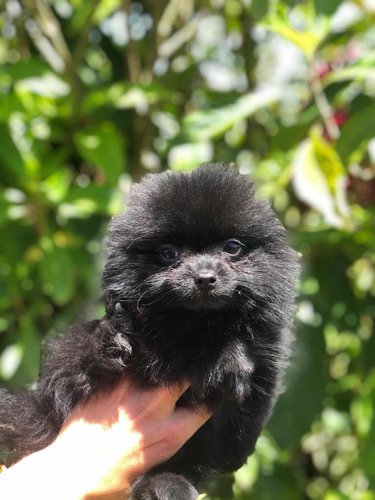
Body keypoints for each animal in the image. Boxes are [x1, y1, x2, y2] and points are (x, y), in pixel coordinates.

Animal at [0, 163, 300, 496]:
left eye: (232, 247)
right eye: (168, 253)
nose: (205, 277)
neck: (193, 321)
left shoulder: (256, 383)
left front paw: (228, 358)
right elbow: (70, 361)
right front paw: (108, 345)